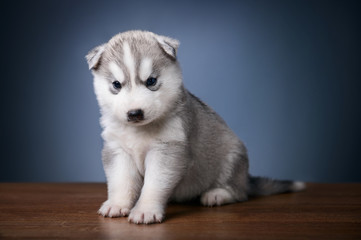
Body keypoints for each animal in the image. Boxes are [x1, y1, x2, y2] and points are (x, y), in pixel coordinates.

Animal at [85, 31, 304, 224]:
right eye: (116, 84)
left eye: (151, 81)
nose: (134, 113)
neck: (140, 130)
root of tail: (246, 179)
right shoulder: (117, 150)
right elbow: (121, 181)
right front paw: (117, 204)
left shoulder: (167, 150)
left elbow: (153, 184)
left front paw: (145, 209)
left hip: (232, 156)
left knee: (239, 192)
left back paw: (217, 194)